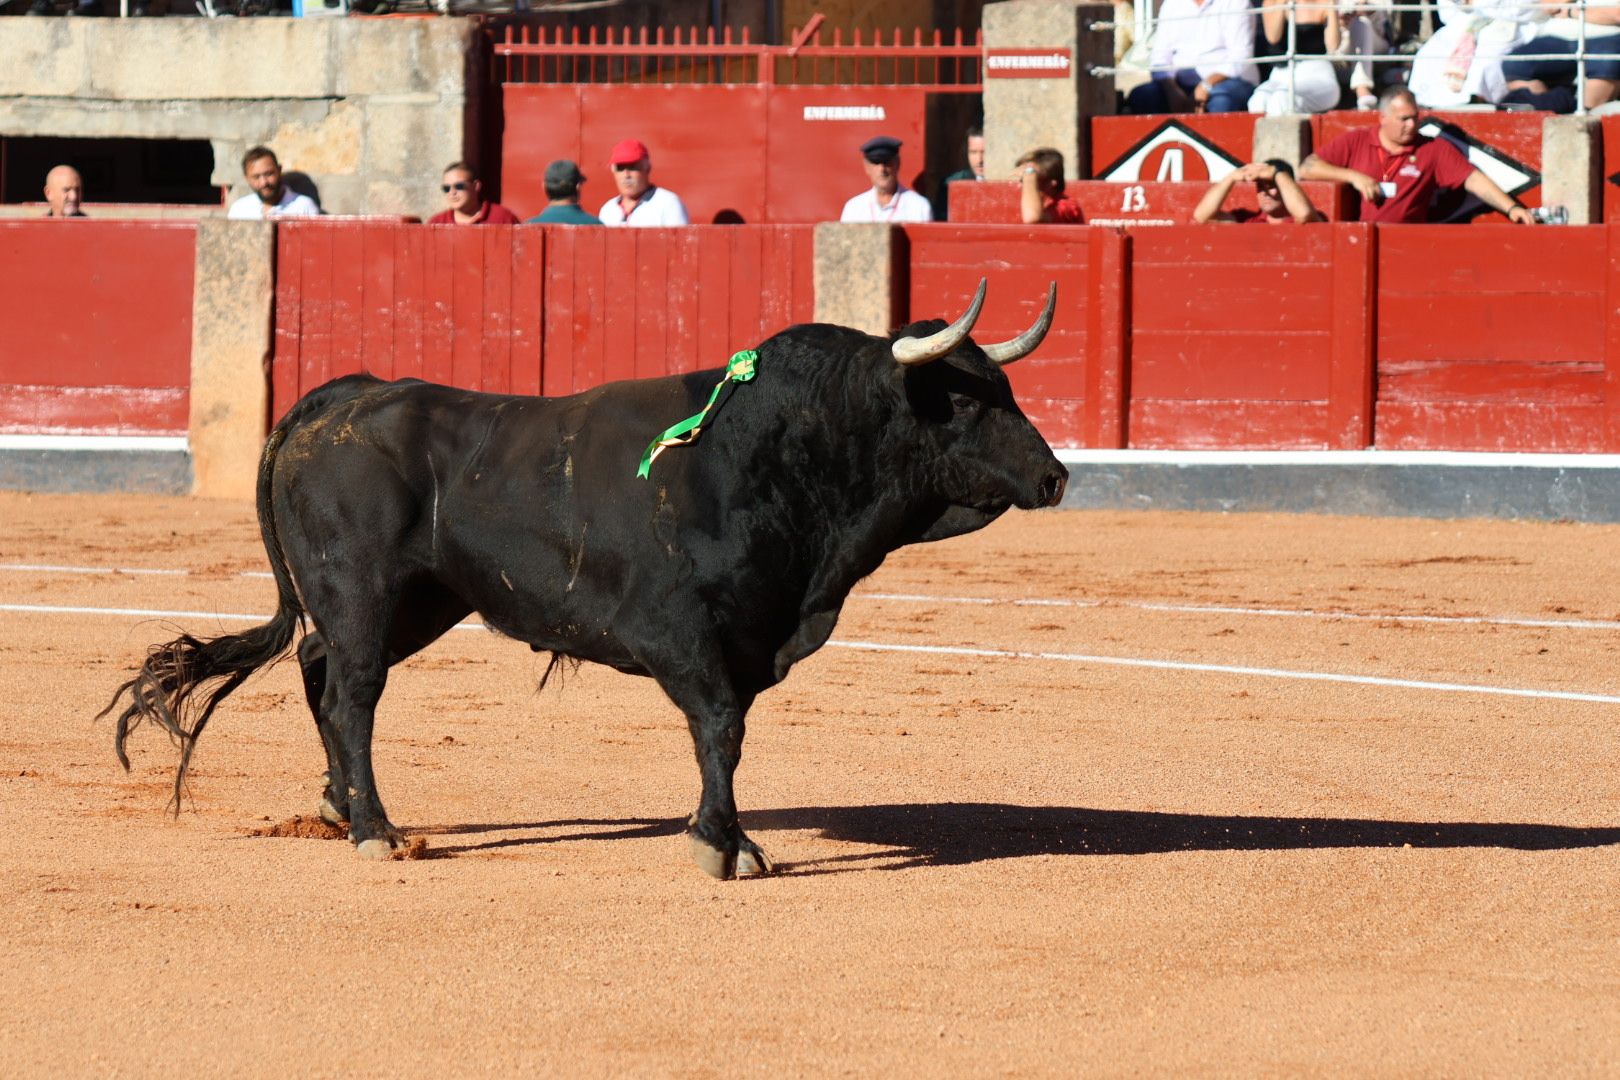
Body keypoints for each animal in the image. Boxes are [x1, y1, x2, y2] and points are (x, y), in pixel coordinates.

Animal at [98, 281, 1062, 880]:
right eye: (966, 399)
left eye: (1008, 388)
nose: (1055, 477)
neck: (768, 454)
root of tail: (340, 396)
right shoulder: (686, 637)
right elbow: (721, 732)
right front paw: (720, 846)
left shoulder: (750, 636)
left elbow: (730, 734)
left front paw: (736, 840)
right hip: (361, 593)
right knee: (350, 695)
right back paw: (377, 831)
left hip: (417, 601)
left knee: (316, 669)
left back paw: (339, 809)